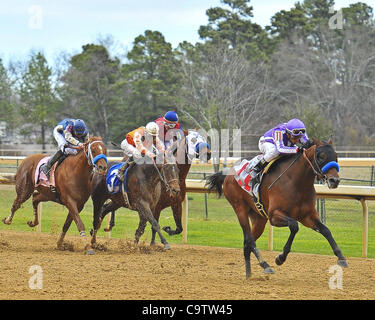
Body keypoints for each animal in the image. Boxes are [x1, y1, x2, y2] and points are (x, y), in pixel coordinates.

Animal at [207, 138, 348, 278]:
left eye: (336, 156)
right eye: (321, 156)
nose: (334, 180)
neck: (297, 183)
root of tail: (227, 174)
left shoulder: (308, 216)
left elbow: (326, 230)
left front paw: (341, 257)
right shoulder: (274, 216)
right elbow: (294, 226)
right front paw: (280, 258)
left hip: (259, 218)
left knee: (247, 243)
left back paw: (249, 274)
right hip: (240, 208)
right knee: (249, 240)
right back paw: (266, 265)